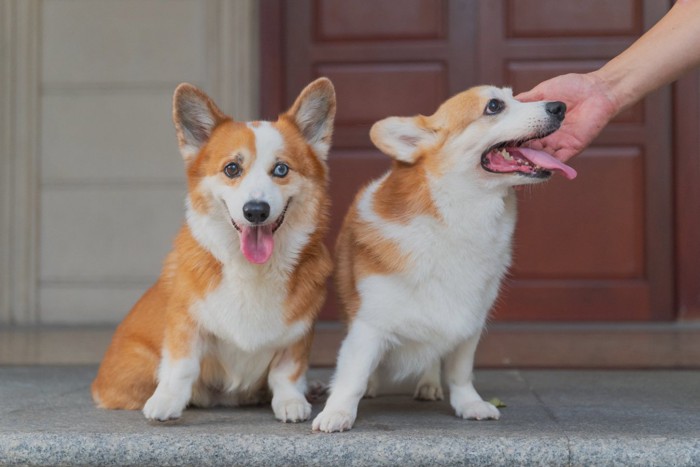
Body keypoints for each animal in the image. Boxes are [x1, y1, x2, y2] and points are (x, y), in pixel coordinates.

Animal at [91, 77, 336, 424]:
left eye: (281, 170)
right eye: (232, 168)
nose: (256, 211)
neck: (251, 269)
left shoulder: (299, 333)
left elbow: (286, 372)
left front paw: (291, 401)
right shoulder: (185, 322)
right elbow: (182, 366)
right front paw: (166, 402)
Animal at [312, 86, 576, 434]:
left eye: (515, 97)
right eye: (494, 106)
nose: (560, 107)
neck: (459, 216)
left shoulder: (468, 325)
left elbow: (460, 374)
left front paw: (470, 405)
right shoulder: (368, 325)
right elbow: (352, 375)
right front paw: (338, 412)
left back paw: (428, 385)